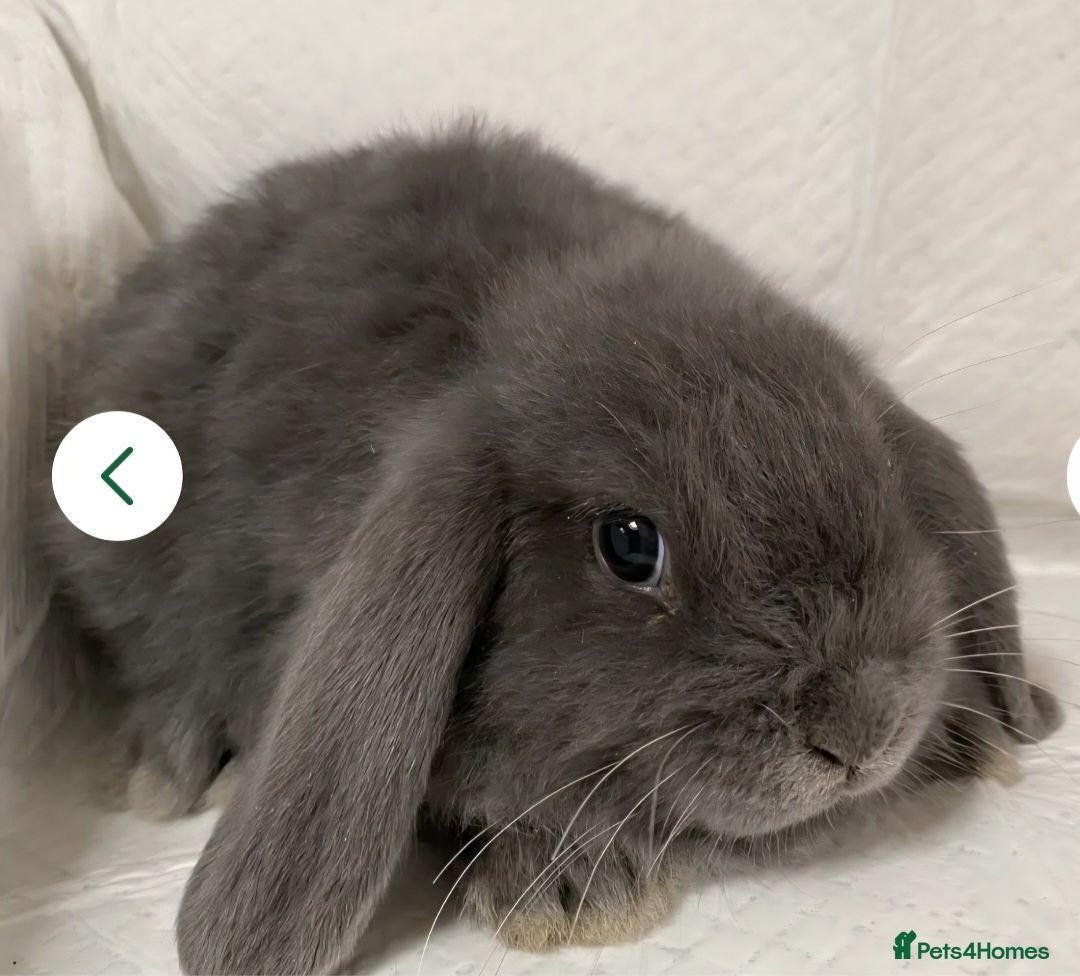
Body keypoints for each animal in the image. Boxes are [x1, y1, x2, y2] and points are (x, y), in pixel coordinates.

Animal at [39, 121, 1062, 975]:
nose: (863, 733)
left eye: (879, 473)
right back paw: (176, 765)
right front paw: (572, 891)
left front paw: (971, 735)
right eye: (629, 546)